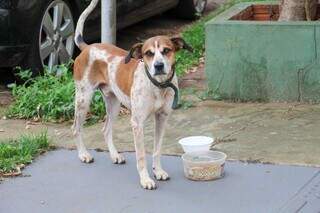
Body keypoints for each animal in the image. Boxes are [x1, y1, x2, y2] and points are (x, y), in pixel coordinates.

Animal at [72, 0, 191, 190]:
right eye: (148, 53)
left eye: (167, 50)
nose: (158, 65)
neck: (157, 85)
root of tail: (88, 47)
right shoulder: (137, 123)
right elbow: (141, 155)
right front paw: (146, 179)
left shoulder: (162, 118)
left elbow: (157, 149)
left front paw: (158, 171)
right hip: (83, 99)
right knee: (76, 128)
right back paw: (83, 154)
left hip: (113, 104)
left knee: (106, 129)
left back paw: (115, 155)